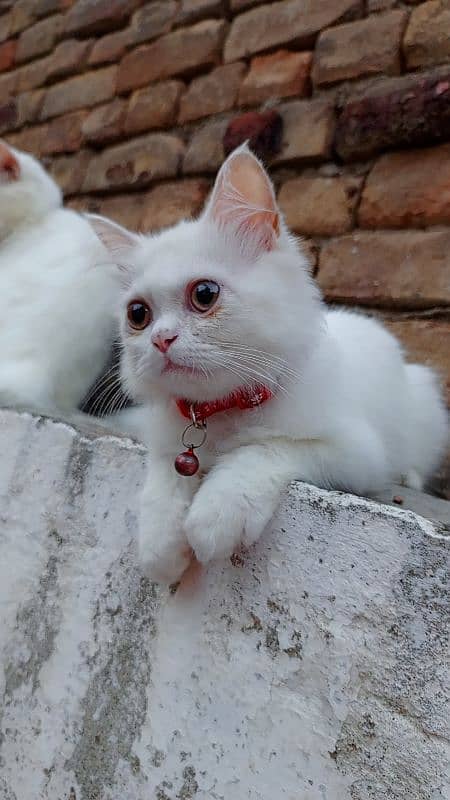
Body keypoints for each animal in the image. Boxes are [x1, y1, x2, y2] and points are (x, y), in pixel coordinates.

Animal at [92, 145, 450, 580]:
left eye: (204, 293)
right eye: (138, 314)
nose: (161, 339)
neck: (221, 411)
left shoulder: (354, 452)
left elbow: (265, 450)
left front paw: (215, 514)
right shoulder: (166, 445)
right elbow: (163, 480)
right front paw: (160, 547)